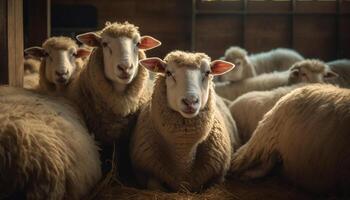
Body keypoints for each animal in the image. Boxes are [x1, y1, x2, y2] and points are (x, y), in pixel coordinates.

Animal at [130, 50, 242, 192]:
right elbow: (155, 187)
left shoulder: (217, 176)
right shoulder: (147, 172)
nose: (190, 101)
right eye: (168, 73)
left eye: (208, 72)